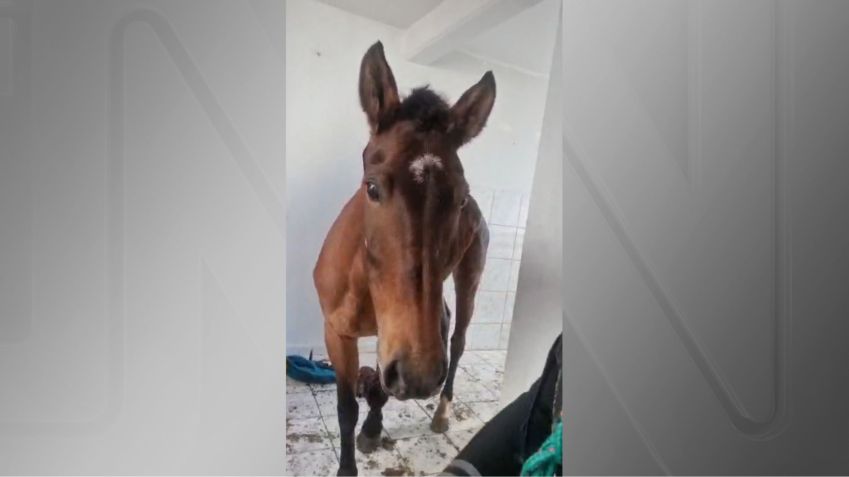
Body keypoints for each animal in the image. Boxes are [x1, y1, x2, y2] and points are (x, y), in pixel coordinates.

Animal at [313, 41, 494, 476]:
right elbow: (346, 408)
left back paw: (442, 412)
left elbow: (378, 391)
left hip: (468, 277)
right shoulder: (336, 333)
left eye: (460, 198)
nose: (421, 376)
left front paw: (371, 431)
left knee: (457, 338)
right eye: (372, 187)